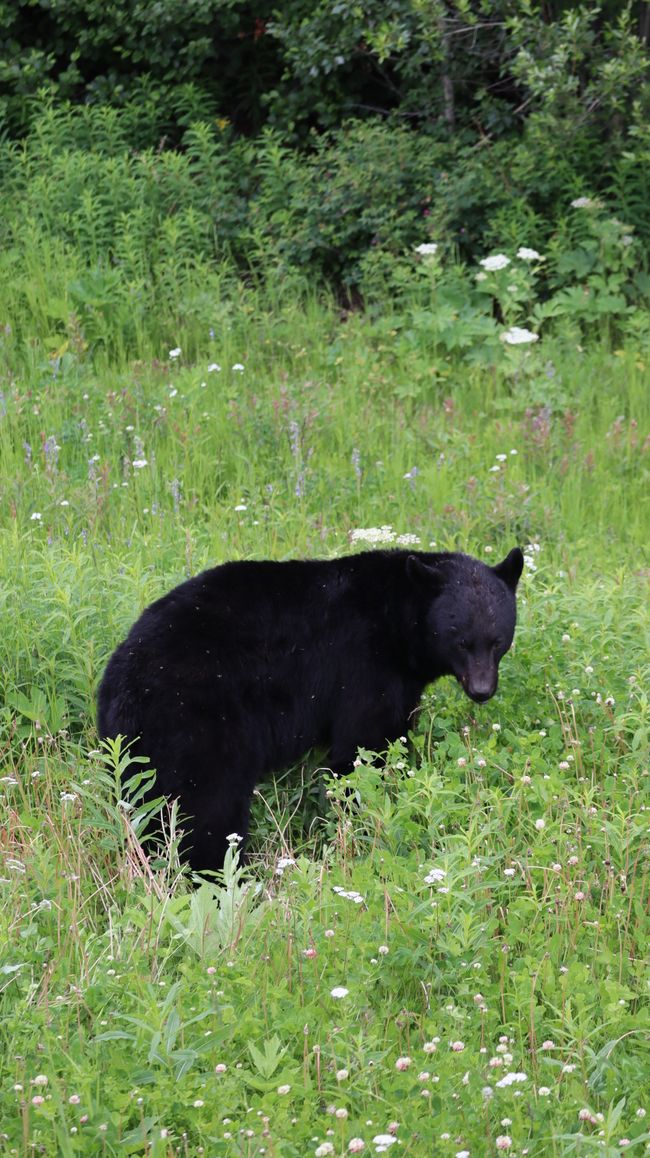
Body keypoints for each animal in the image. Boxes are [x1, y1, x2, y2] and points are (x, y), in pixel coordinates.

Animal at [97, 546, 524, 873]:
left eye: (498, 639)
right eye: (460, 640)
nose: (482, 690)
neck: (398, 622)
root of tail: (120, 683)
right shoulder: (363, 666)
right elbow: (362, 747)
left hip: (142, 750)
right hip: (198, 722)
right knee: (207, 807)